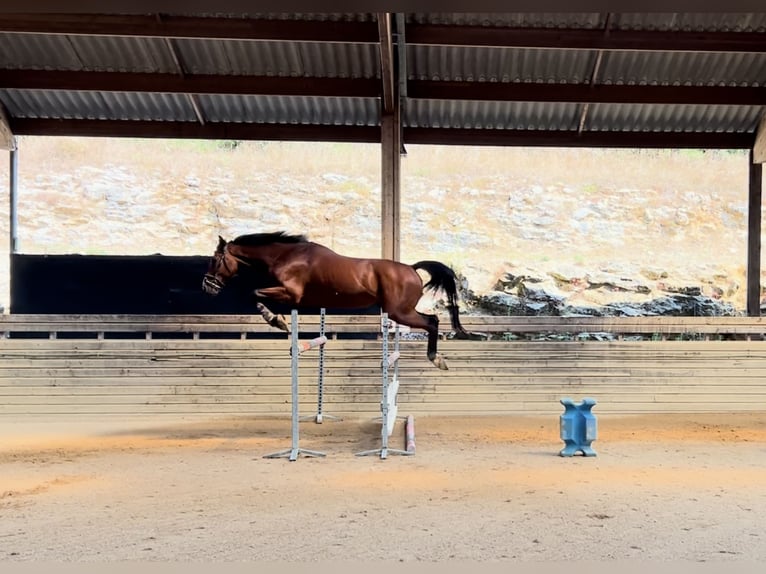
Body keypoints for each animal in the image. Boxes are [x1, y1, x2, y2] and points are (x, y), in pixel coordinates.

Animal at [201, 233, 472, 372]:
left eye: (214, 260)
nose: (206, 287)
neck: (285, 255)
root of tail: (411, 268)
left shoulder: (291, 293)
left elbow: (254, 294)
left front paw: (275, 320)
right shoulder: (293, 298)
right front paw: (279, 321)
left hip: (399, 312)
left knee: (432, 321)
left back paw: (436, 358)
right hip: (400, 312)